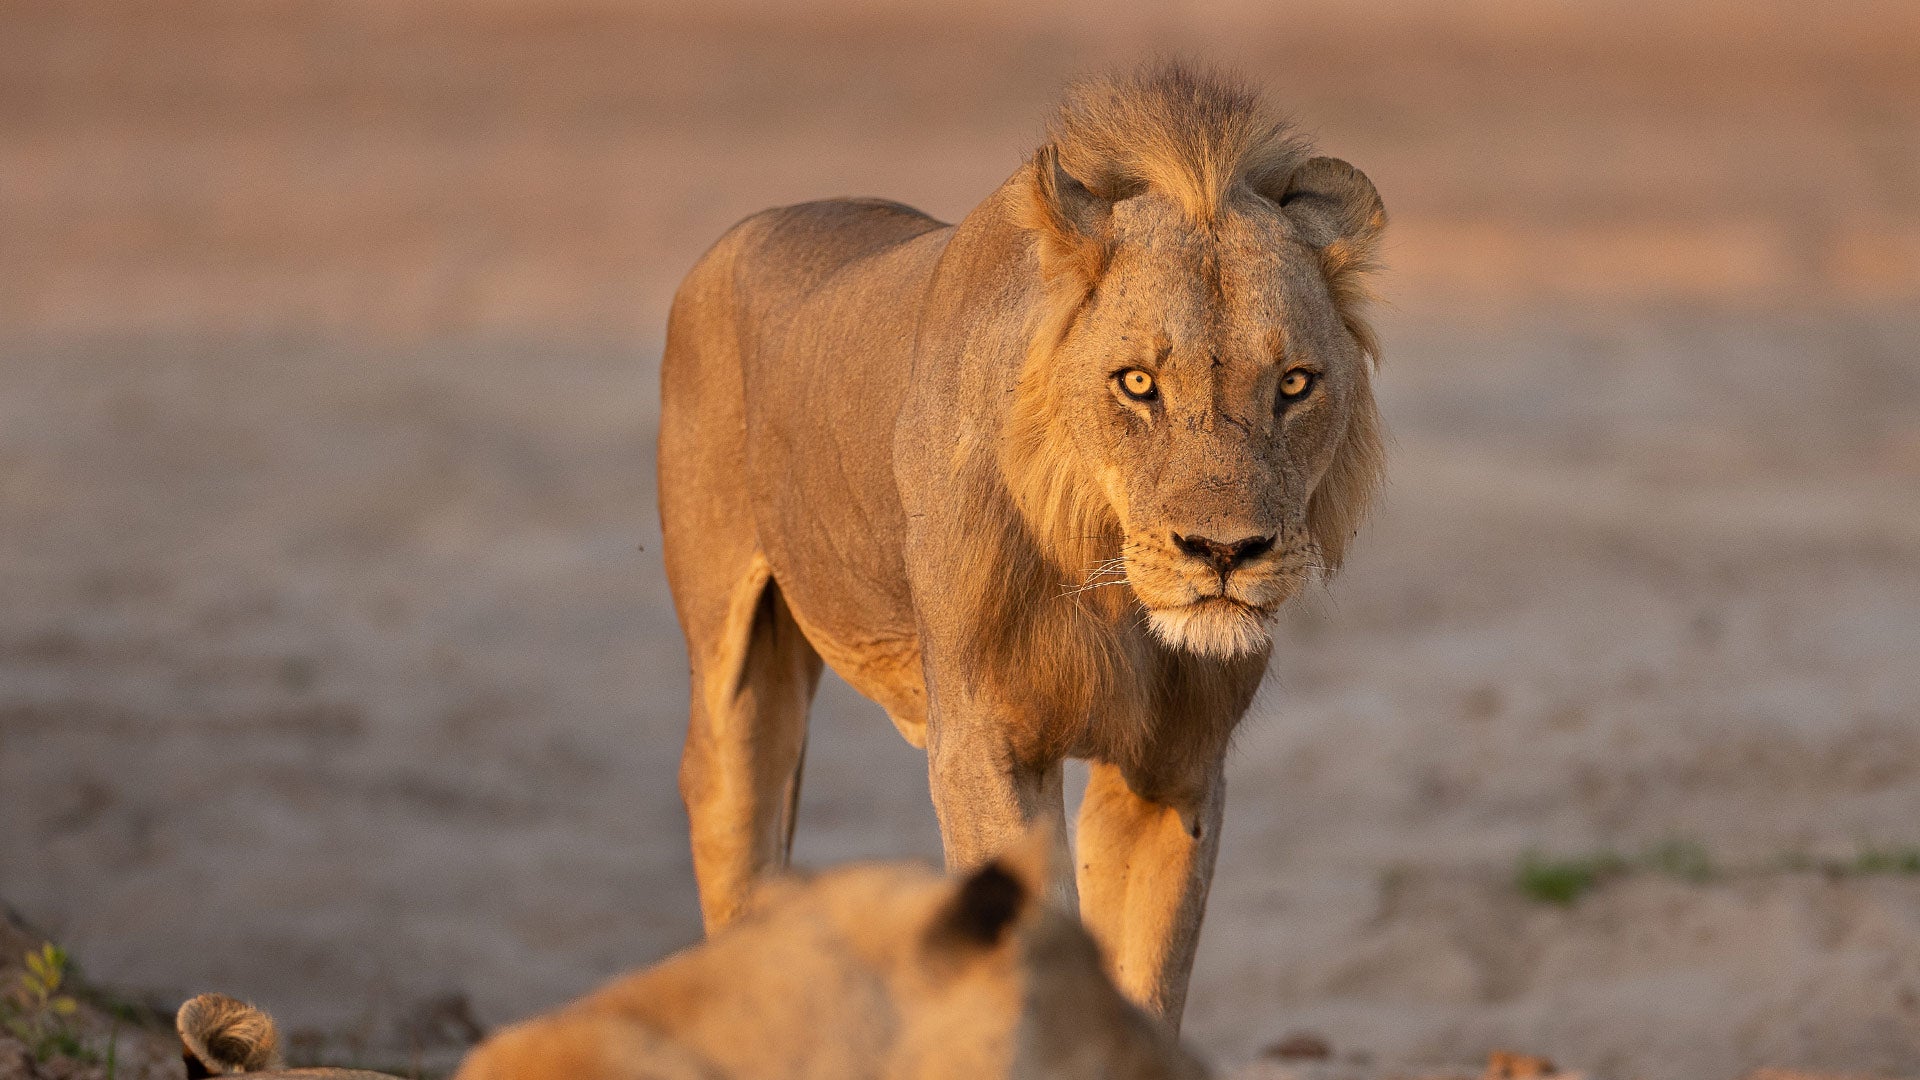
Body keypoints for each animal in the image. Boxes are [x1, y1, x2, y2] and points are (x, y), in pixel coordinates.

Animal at [660, 62, 1382, 1022]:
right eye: (1138, 384)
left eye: (1296, 384)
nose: (1226, 553)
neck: (1108, 584)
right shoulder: (981, 739)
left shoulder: (1177, 766)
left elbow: (1148, 981)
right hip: (733, 662)